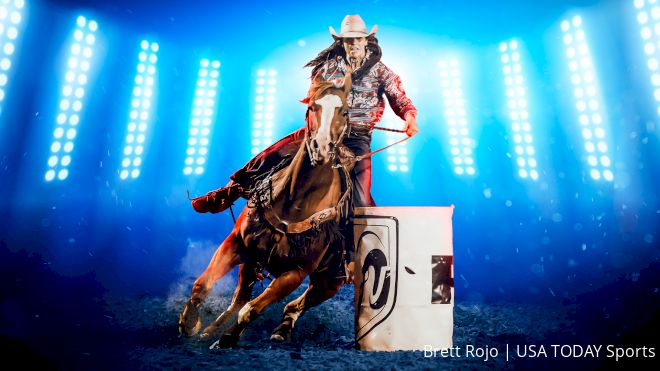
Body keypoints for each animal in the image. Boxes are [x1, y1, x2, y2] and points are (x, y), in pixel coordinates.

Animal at [178, 73, 356, 348]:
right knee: (239, 298)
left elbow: (252, 309)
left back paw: (279, 331)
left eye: (345, 111)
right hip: (252, 262)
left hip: (329, 282)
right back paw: (210, 330)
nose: (321, 147)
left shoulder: (295, 273)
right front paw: (188, 324)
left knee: (292, 306)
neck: (294, 201)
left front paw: (227, 339)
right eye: (311, 108)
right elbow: (203, 284)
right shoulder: (237, 244)